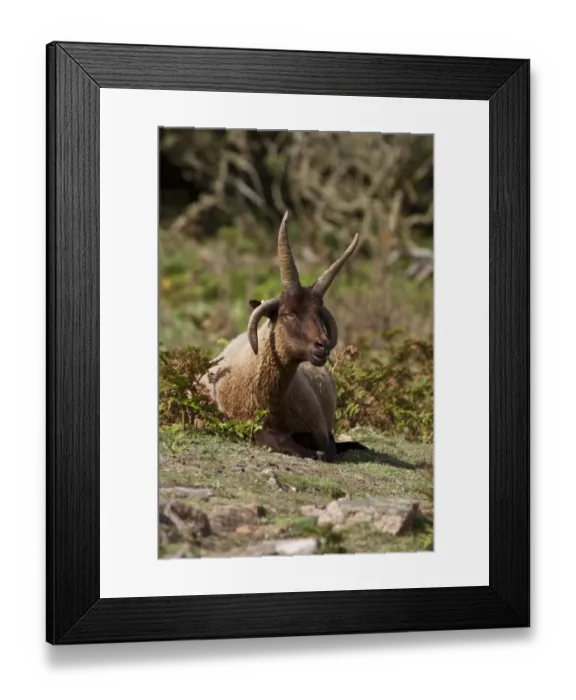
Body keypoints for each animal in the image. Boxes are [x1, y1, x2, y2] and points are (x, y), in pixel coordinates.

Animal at [199, 211, 367, 462]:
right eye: (288, 313)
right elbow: (281, 441)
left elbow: (327, 449)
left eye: (319, 313)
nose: (322, 346)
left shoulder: (319, 428)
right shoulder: (245, 426)